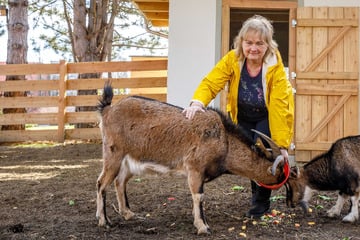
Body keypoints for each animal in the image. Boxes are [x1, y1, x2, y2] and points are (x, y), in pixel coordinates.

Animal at [95, 82, 286, 234]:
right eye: (281, 173)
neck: (224, 140)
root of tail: (108, 110)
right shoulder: (195, 168)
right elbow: (198, 196)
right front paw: (203, 227)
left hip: (129, 161)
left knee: (119, 181)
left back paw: (127, 214)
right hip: (113, 154)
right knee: (102, 182)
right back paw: (104, 221)